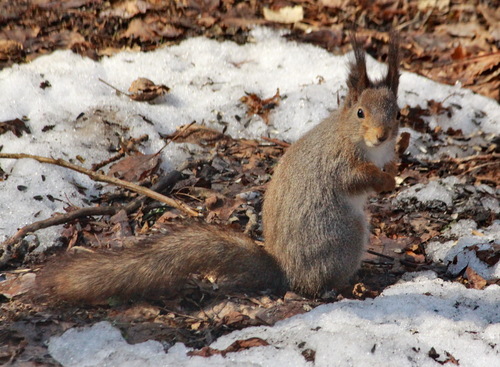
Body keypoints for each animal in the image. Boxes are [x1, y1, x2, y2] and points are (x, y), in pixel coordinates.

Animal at [37, 33, 400, 304]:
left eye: (397, 112)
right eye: (360, 113)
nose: (383, 135)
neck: (361, 142)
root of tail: (288, 273)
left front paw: (393, 170)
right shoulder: (338, 161)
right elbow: (354, 180)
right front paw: (382, 179)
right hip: (346, 235)